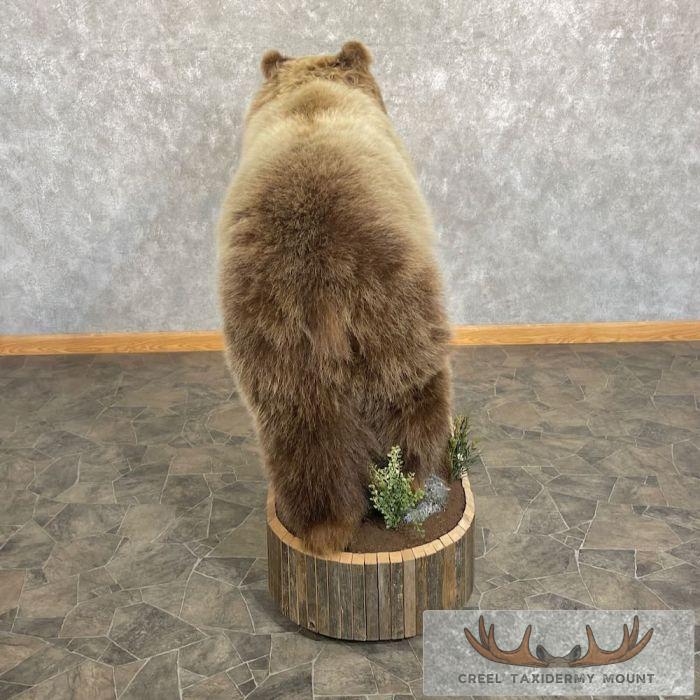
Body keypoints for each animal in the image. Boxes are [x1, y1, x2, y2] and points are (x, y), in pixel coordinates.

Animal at [217, 41, 452, 553]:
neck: (308, 96)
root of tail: (321, 269)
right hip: (395, 303)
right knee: (410, 390)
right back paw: (416, 476)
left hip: (270, 331)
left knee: (300, 425)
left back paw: (322, 522)